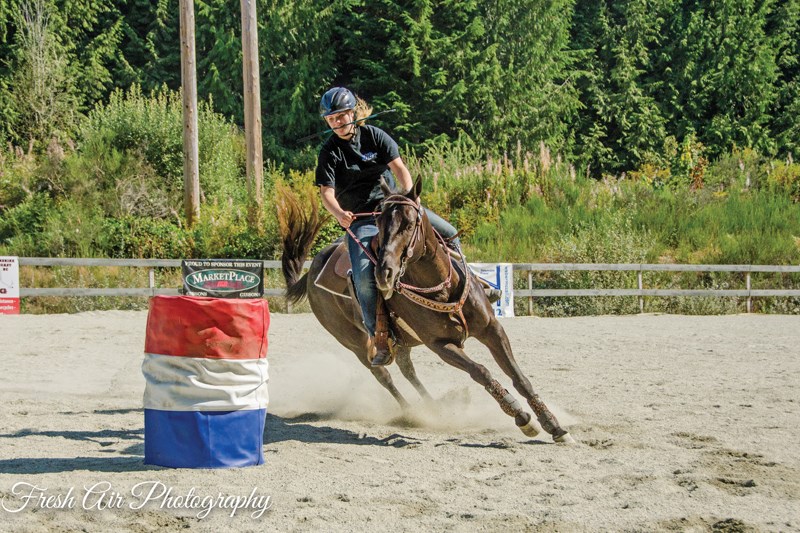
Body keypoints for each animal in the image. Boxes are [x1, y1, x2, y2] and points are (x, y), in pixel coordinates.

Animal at [278, 178, 572, 440]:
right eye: (379, 224)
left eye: (410, 224)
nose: (384, 273)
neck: (441, 286)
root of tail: (312, 271)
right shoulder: (440, 345)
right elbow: (481, 371)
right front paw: (520, 416)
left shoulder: (492, 329)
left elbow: (518, 377)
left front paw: (553, 424)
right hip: (355, 342)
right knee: (383, 375)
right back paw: (412, 413)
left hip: (400, 340)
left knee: (407, 370)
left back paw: (435, 408)